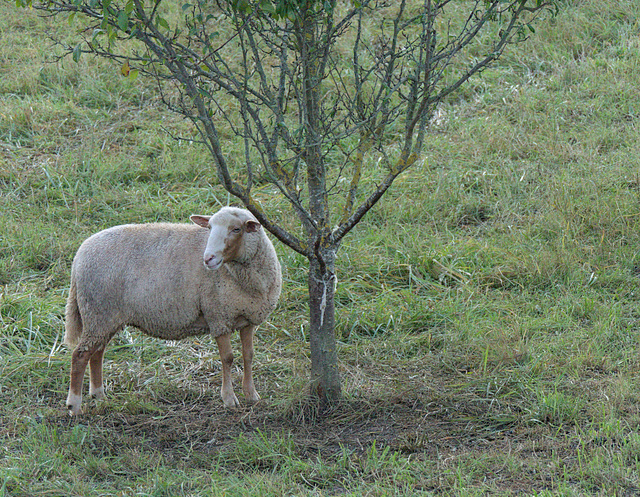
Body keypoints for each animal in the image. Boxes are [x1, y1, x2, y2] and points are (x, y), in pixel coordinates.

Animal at [63, 205, 282, 414]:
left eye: (236, 229)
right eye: (209, 228)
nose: (208, 258)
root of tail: (79, 256)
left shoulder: (248, 318)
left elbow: (248, 355)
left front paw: (251, 395)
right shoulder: (218, 317)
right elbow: (227, 359)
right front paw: (229, 399)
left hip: (104, 317)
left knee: (96, 353)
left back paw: (99, 395)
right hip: (97, 311)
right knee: (80, 356)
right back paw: (74, 405)